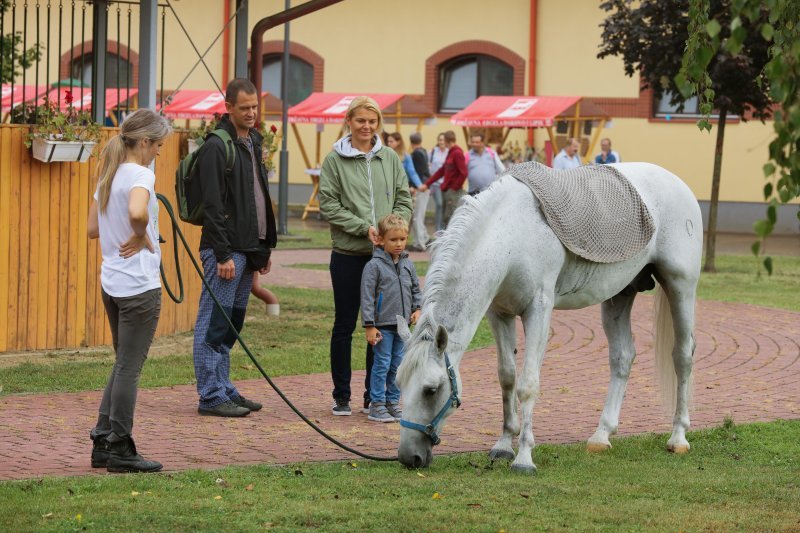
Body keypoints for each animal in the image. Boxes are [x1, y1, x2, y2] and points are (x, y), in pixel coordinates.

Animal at [396, 160, 704, 472]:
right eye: (399, 384)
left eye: (430, 390)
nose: (409, 458)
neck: (512, 232)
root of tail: (677, 183)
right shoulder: (499, 313)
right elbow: (507, 377)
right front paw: (503, 445)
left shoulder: (538, 310)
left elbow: (528, 384)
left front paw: (523, 458)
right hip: (619, 296)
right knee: (622, 358)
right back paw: (601, 435)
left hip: (680, 286)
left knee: (683, 356)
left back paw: (678, 437)